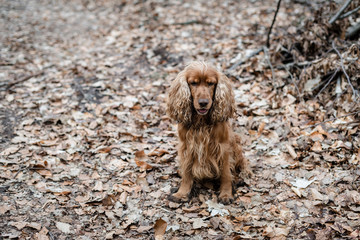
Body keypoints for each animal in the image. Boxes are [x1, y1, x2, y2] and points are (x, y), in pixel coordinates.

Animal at [167, 62, 249, 204]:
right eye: (193, 83)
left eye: (210, 83)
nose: (203, 103)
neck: (201, 123)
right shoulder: (187, 147)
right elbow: (187, 173)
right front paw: (181, 193)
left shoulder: (223, 147)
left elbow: (226, 173)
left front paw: (226, 194)